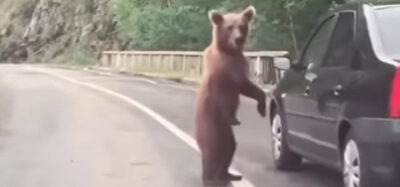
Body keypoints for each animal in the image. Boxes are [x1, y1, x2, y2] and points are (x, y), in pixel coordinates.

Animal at [195, 5, 268, 187]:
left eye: (242, 26)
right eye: (229, 27)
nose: (238, 39)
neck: (229, 53)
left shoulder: (239, 68)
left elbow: (248, 87)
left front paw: (262, 108)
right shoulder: (220, 73)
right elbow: (224, 96)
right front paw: (233, 117)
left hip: (226, 132)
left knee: (229, 147)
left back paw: (228, 174)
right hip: (210, 124)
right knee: (211, 149)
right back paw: (210, 178)